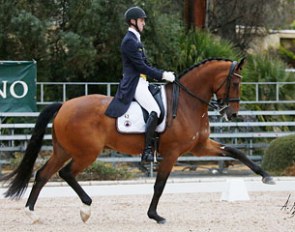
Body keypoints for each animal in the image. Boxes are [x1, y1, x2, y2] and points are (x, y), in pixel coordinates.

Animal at [0, 57, 276, 224]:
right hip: (87, 152)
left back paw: (32, 213)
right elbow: (160, 185)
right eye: (236, 82)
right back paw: (85, 208)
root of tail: (64, 105)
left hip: (64, 149)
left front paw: (266, 176)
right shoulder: (173, 152)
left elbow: (236, 152)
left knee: (43, 175)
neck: (187, 102)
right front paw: (155, 215)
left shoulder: (200, 147)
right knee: (66, 174)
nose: (232, 114)